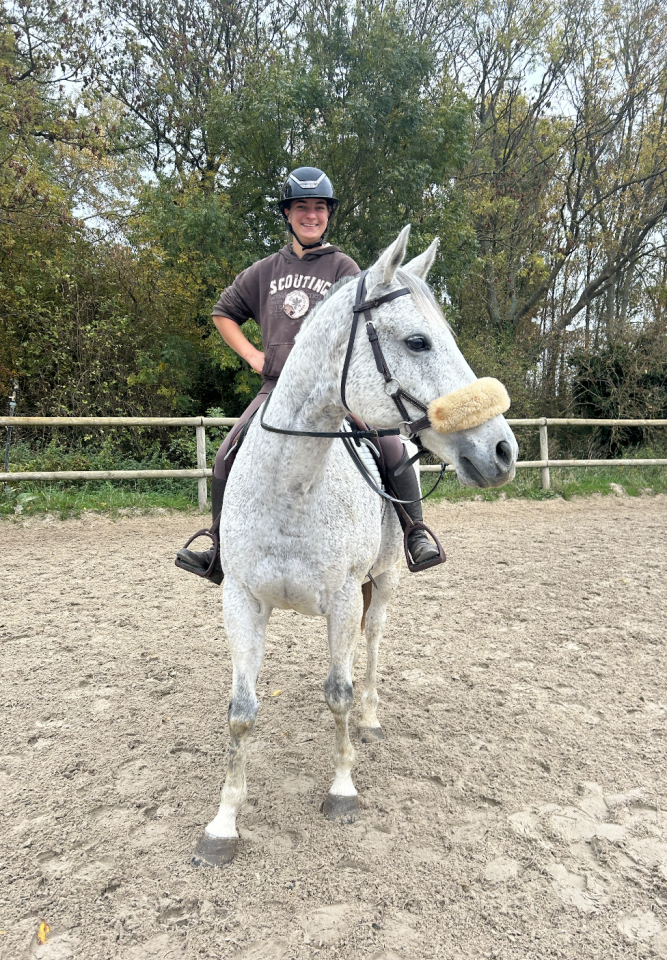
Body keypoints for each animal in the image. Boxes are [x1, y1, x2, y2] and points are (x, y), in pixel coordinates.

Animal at [192, 226, 518, 866]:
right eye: (417, 341)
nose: (501, 450)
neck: (294, 485)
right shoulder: (241, 599)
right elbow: (240, 713)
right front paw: (223, 824)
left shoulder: (342, 599)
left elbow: (338, 694)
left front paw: (342, 788)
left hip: (384, 580)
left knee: (370, 647)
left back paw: (371, 718)